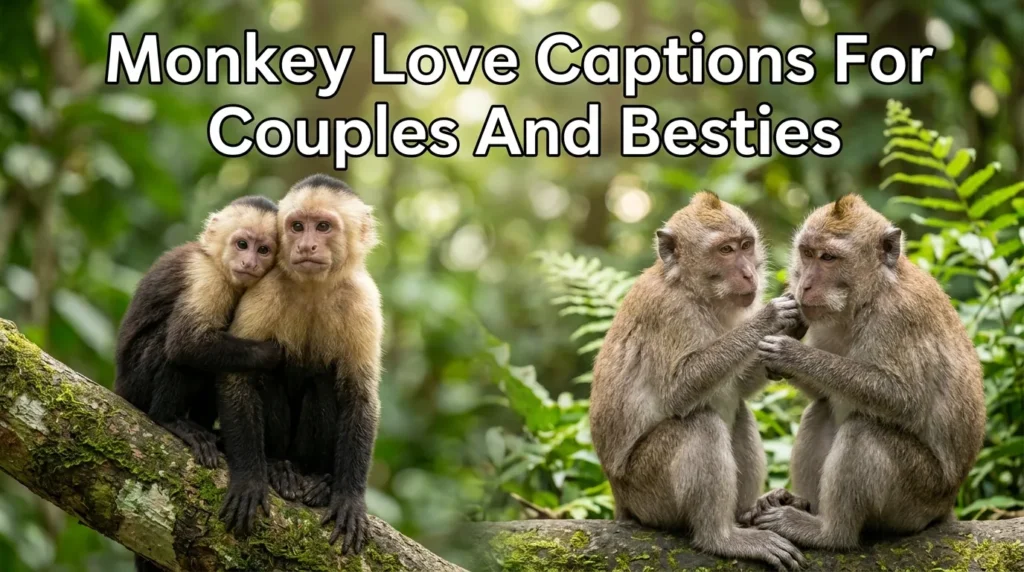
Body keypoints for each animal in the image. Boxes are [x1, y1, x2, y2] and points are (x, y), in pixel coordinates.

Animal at [115, 195, 283, 469]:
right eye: (242, 244)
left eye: (263, 250)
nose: (249, 263)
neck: (217, 262)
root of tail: (120, 388)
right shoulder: (206, 277)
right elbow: (186, 343)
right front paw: (272, 354)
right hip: (136, 384)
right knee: (169, 345)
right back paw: (169, 419)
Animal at [217, 174, 382, 556]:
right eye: (296, 226)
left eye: (322, 226)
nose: (306, 246)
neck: (313, 288)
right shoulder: (264, 290)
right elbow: (239, 378)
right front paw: (250, 479)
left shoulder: (364, 303)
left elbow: (360, 396)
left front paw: (349, 497)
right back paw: (278, 467)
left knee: (321, 382)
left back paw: (320, 479)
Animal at [590, 192, 805, 572]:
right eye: (725, 250)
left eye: (746, 245)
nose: (749, 273)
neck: (695, 290)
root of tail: (621, 500)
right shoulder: (669, 312)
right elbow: (680, 390)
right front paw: (772, 315)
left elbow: (739, 387)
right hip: (647, 493)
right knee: (700, 424)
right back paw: (721, 537)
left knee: (739, 413)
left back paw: (749, 511)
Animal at [749, 194, 986, 550]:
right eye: (807, 253)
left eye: (828, 257)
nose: (804, 285)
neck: (866, 298)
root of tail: (944, 507)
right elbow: (822, 392)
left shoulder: (899, 315)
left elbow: (902, 397)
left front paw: (790, 352)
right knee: (821, 409)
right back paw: (802, 505)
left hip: (918, 496)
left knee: (865, 429)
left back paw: (829, 532)